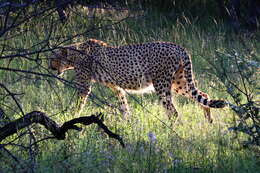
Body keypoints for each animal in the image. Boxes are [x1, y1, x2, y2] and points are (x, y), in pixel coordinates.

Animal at [49, 39, 225, 123]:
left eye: (52, 58)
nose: (50, 67)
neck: (74, 53)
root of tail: (177, 46)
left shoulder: (84, 85)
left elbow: (78, 104)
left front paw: (71, 117)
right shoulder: (116, 87)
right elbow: (123, 105)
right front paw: (126, 122)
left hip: (161, 84)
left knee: (173, 111)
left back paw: (172, 131)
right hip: (179, 82)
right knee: (203, 95)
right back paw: (209, 121)